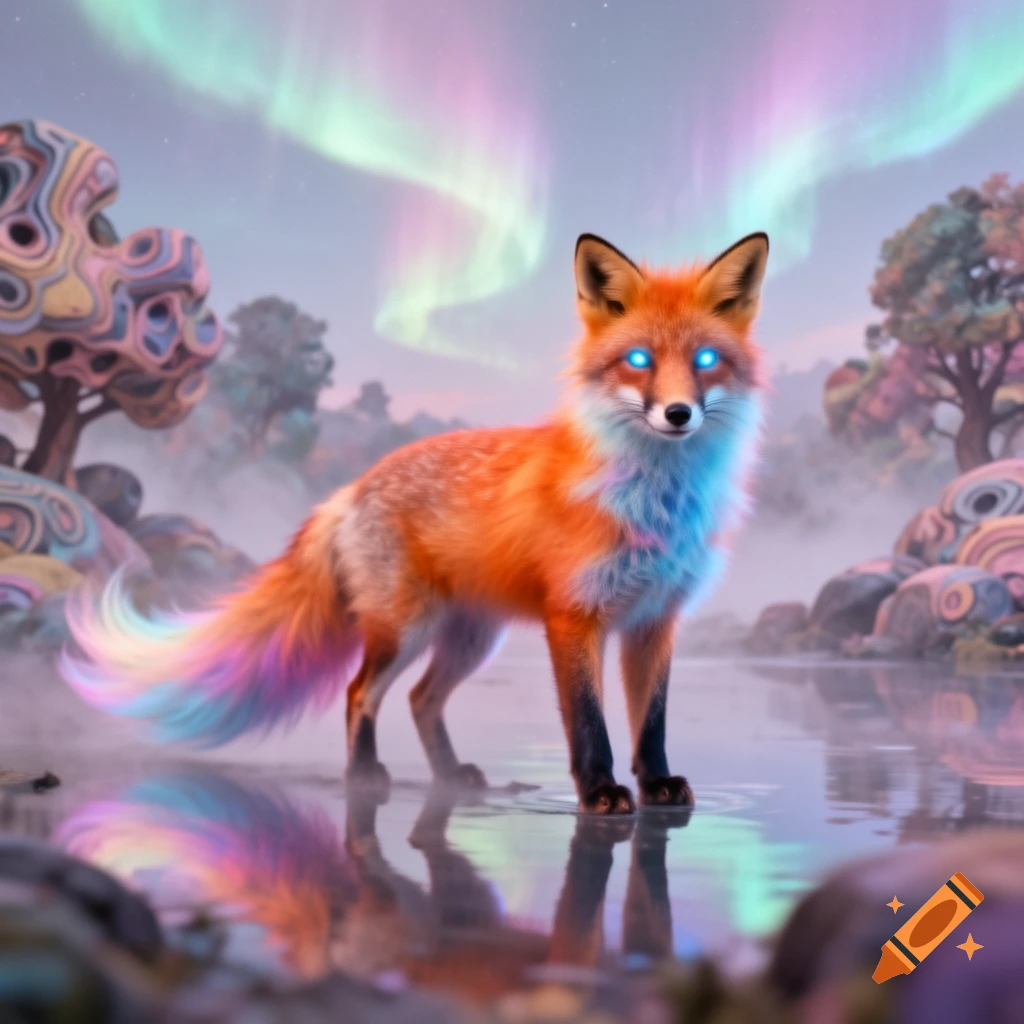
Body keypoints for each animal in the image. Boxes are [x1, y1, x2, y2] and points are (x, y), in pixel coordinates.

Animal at [61, 231, 769, 815]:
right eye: (639, 361)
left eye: (706, 361)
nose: (678, 414)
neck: (657, 503)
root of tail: (352, 487)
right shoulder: (575, 616)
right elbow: (590, 724)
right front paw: (599, 792)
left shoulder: (655, 619)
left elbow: (651, 722)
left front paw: (656, 785)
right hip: (405, 628)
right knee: (360, 693)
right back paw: (365, 775)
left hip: (470, 638)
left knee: (420, 699)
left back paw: (451, 777)